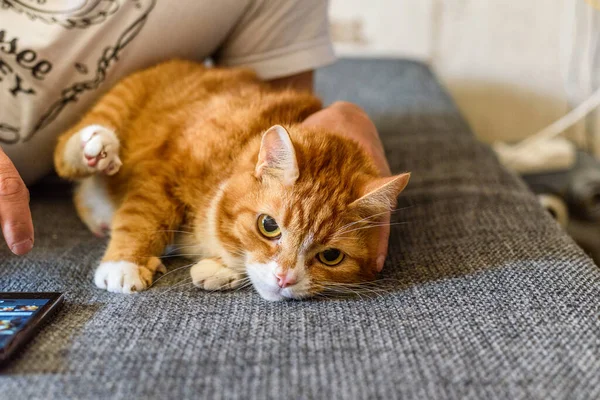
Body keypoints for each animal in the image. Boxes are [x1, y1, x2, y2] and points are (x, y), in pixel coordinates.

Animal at [54, 60, 410, 300]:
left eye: (331, 256)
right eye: (269, 226)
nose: (285, 278)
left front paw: (221, 269)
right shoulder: (162, 174)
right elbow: (141, 219)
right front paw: (124, 263)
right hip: (121, 103)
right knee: (67, 151)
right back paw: (94, 147)